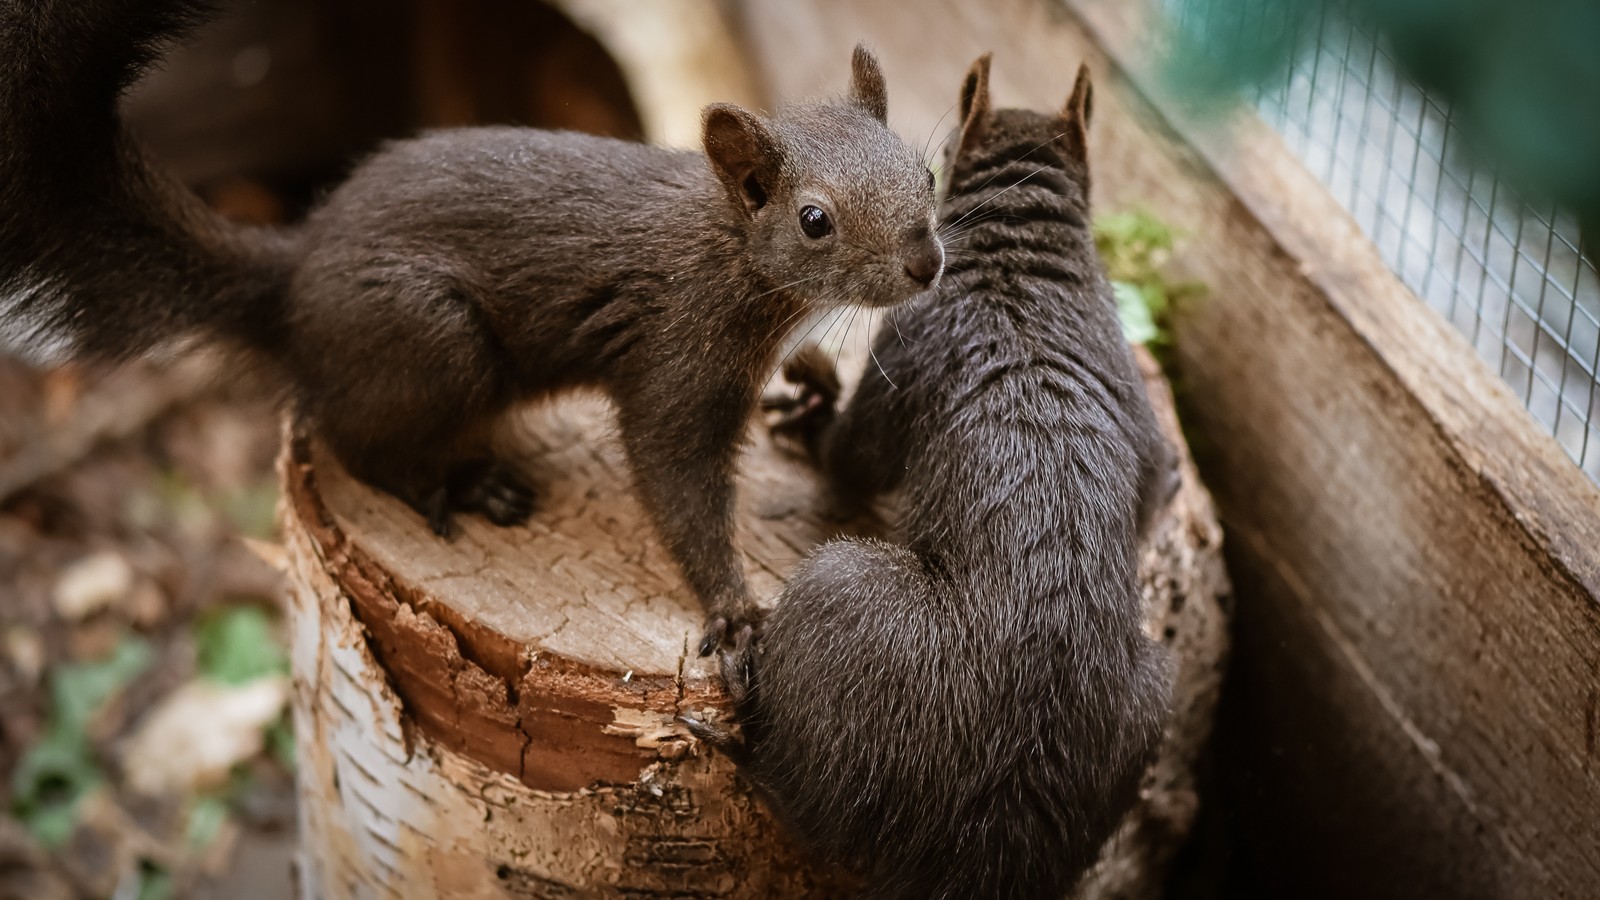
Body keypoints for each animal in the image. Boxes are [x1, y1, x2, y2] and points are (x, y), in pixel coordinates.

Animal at [0, 0, 940, 643]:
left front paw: (811, 385)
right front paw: (735, 611)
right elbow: (676, 482)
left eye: (924, 172)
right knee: (352, 440)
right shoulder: (677, 353)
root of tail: (291, 278)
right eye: (815, 220)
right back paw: (458, 484)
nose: (927, 262)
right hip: (434, 340)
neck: (731, 251)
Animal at [684, 57, 1177, 896]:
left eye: (931, 173)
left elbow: (852, 456)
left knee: (811, 808)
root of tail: (991, 838)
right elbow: (1155, 487)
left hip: (844, 597)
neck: (1027, 259)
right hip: (1149, 706)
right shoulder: (1134, 397)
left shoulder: (914, 340)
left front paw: (815, 414)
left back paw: (749, 725)